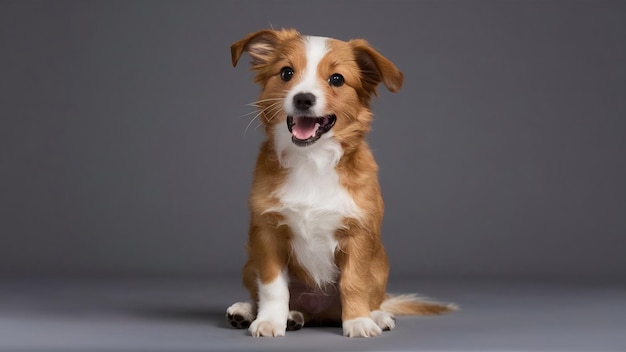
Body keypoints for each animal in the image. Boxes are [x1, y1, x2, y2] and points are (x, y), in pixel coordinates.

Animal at [224, 28, 454, 336]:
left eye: (336, 79)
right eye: (286, 73)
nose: (303, 99)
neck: (312, 160)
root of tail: (318, 312)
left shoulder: (359, 234)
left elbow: (353, 282)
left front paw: (358, 321)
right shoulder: (267, 234)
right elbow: (273, 286)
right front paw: (270, 320)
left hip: (380, 266)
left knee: (373, 298)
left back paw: (376, 315)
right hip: (250, 263)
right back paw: (259, 312)